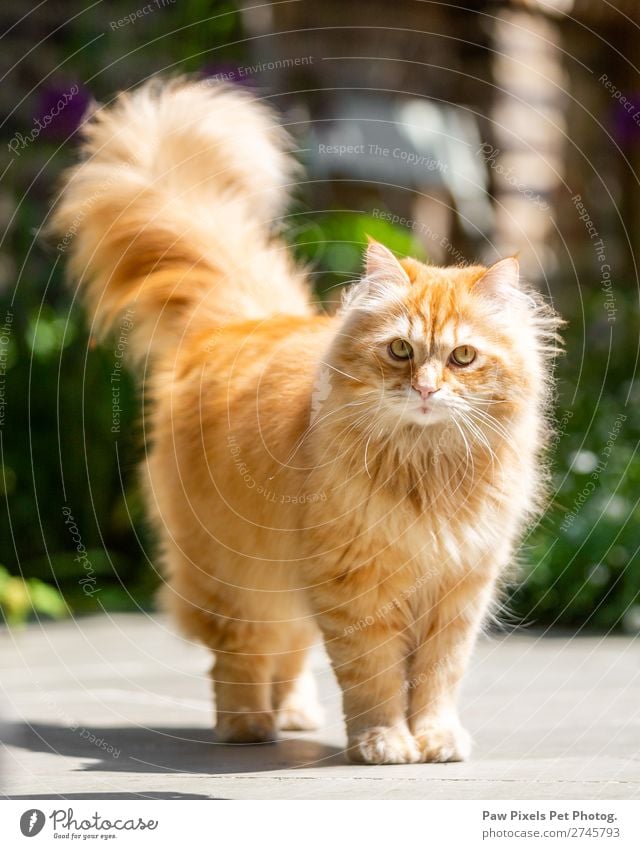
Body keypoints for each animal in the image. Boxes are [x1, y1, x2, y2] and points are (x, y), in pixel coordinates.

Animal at [51, 79, 560, 764]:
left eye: (462, 357)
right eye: (401, 350)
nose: (426, 389)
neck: (426, 470)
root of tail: (242, 321)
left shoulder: (457, 590)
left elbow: (437, 677)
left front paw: (435, 739)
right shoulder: (353, 583)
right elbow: (373, 676)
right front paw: (383, 741)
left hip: (281, 578)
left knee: (286, 650)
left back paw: (292, 715)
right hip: (236, 572)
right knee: (239, 655)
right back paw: (248, 726)